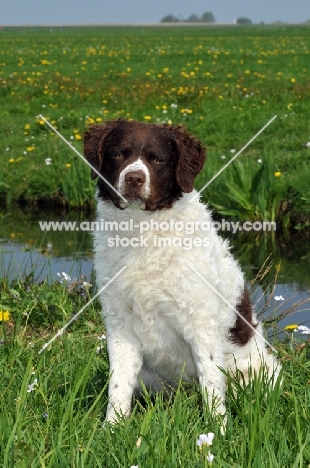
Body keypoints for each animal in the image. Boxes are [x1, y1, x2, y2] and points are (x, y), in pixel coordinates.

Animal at [83, 118, 280, 428]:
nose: (134, 179)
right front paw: (111, 428)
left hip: (262, 373)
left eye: (157, 159)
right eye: (118, 154)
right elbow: (118, 383)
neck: (142, 233)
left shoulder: (200, 322)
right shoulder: (120, 323)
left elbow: (212, 382)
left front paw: (217, 431)